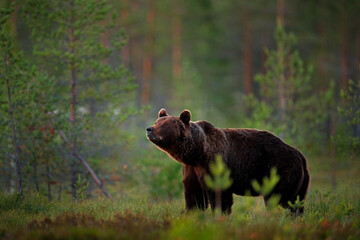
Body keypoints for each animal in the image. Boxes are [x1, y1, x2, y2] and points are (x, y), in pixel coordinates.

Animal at [146, 109, 310, 214]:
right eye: (156, 121)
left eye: (165, 124)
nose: (149, 129)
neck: (197, 152)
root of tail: (301, 156)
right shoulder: (191, 169)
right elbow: (194, 194)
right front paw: (194, 213)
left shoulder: (215, 164)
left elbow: (220, 194)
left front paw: (220, 214)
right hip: (300, 181)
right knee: (297, 201)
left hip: (280, 170)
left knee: (282, 199)